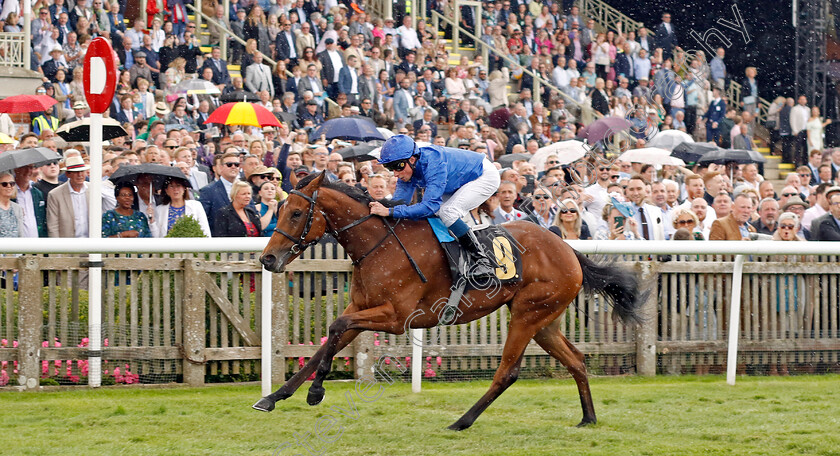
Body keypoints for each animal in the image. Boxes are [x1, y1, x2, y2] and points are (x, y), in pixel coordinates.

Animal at [254, 172, 644, 432]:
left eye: (296, 213)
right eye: (278, 209)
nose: (268, 259)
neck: (378, 244)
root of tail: (567, 248)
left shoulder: (396, 317)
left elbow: (334, 328)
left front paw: (315, 392)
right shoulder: (360, 309)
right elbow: (325, 344)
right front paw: (273, 397)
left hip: (528, 315)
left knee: (508, 371)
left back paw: (461, 421)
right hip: (544, 321)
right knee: (576, 360)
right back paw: (588, 417)